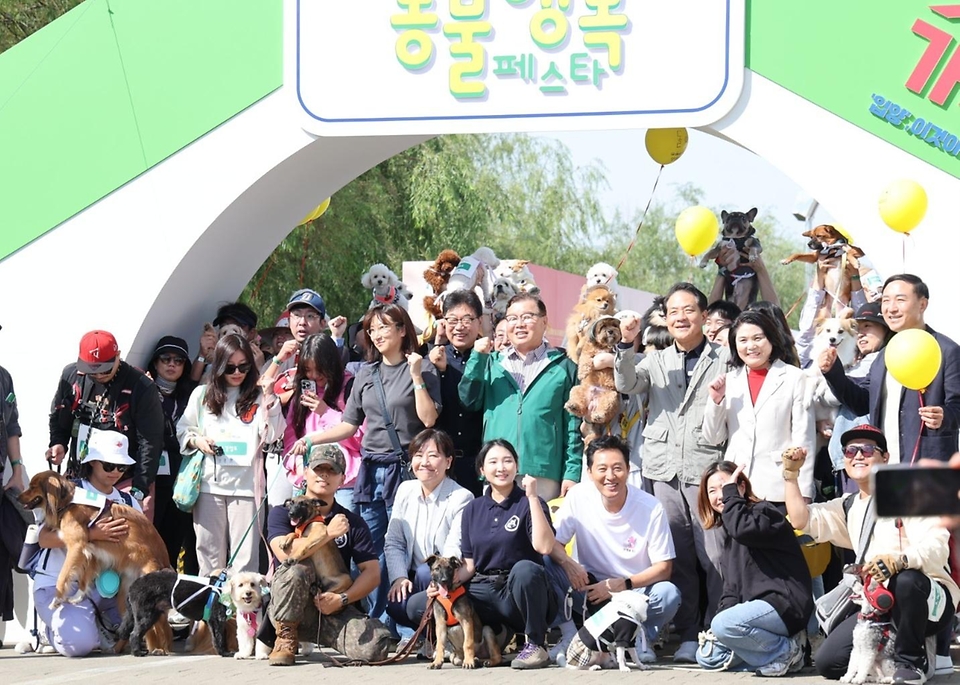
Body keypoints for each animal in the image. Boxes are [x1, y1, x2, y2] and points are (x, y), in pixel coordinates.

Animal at [18, 470, 170, 608]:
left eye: (32, 487)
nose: (17, 497)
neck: (68, 501)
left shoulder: (76, 546)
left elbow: (63, 575)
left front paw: (57, 599)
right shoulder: (90, 552)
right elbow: (84, 578)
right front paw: (77, 597)